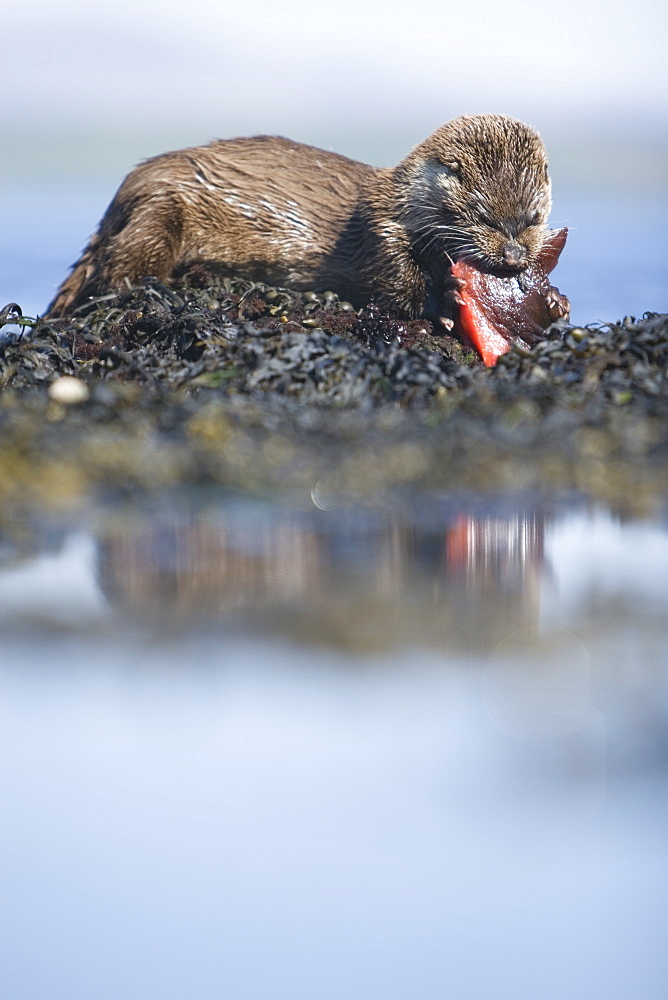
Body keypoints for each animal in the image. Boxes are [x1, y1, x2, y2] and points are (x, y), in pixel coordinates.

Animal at [48, 114, 552, 326]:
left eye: (533, 217)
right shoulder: (381, 230)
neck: (403, 204)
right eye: (483, 216)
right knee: (118, 268)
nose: (513, 257)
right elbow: (395, 287)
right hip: (161, 207)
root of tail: (129, 184)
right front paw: (442, 305)